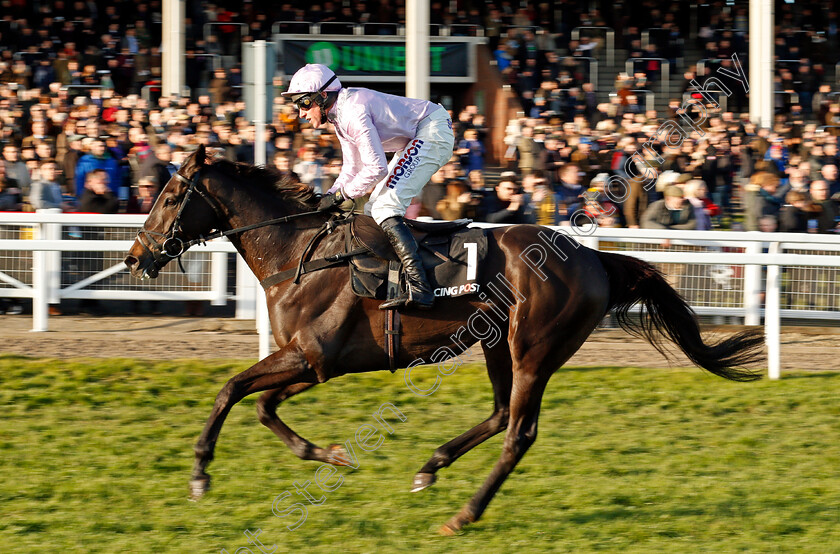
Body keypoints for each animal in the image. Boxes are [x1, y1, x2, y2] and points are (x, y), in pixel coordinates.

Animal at [123, 144, 760, 532]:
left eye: (171, 196)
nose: (135, 256)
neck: (299, 253)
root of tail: (595, 259)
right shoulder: (314, 363)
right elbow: (261, 406)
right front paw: (328, 454)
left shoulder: (309, 356)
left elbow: (230, 390)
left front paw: (200, 474)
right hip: (497, 343)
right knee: (501, 414)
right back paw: (431, 466)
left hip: (535, 348)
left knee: (520, 432)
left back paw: (465, 513)